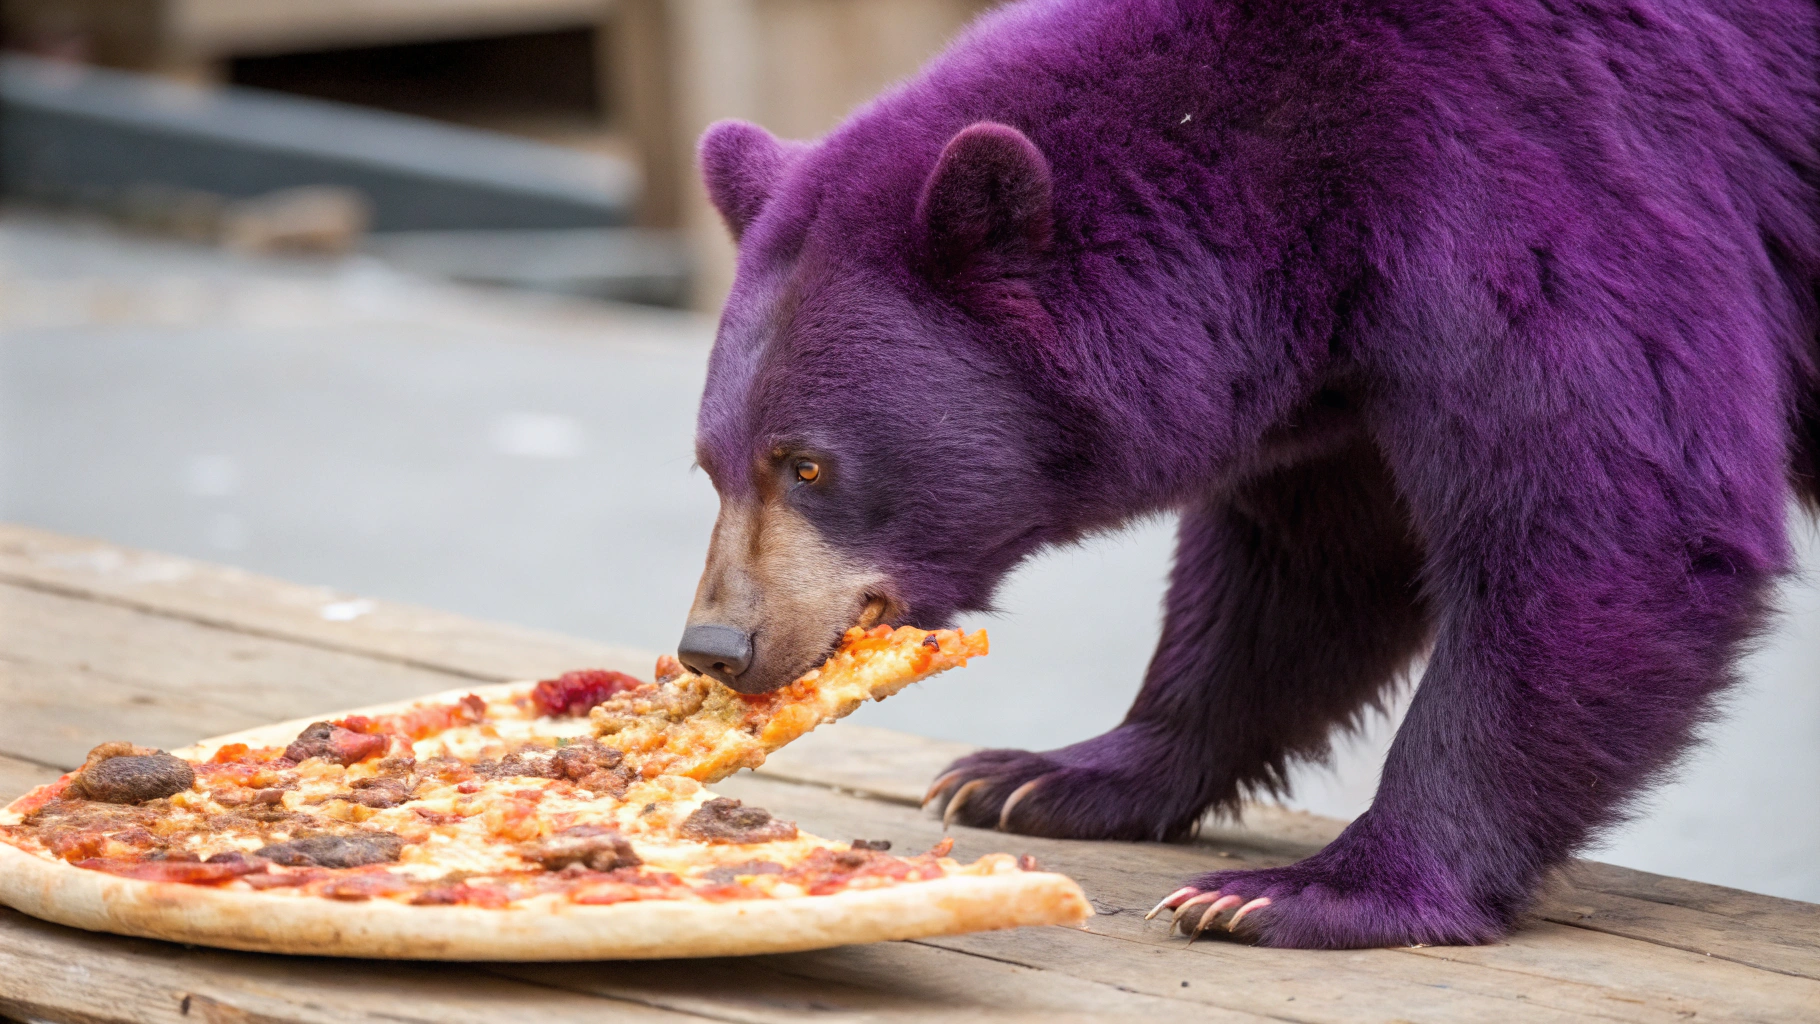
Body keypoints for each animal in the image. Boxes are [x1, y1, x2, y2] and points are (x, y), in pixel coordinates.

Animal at [673, 0, 1820, 949]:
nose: (717, 644)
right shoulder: (1343, 363)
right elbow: (1305, 565)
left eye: (808, 465)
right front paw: (1039, 776)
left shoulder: (1535, 174)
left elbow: (1610, 519)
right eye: (711, 464)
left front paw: (1305, 892)